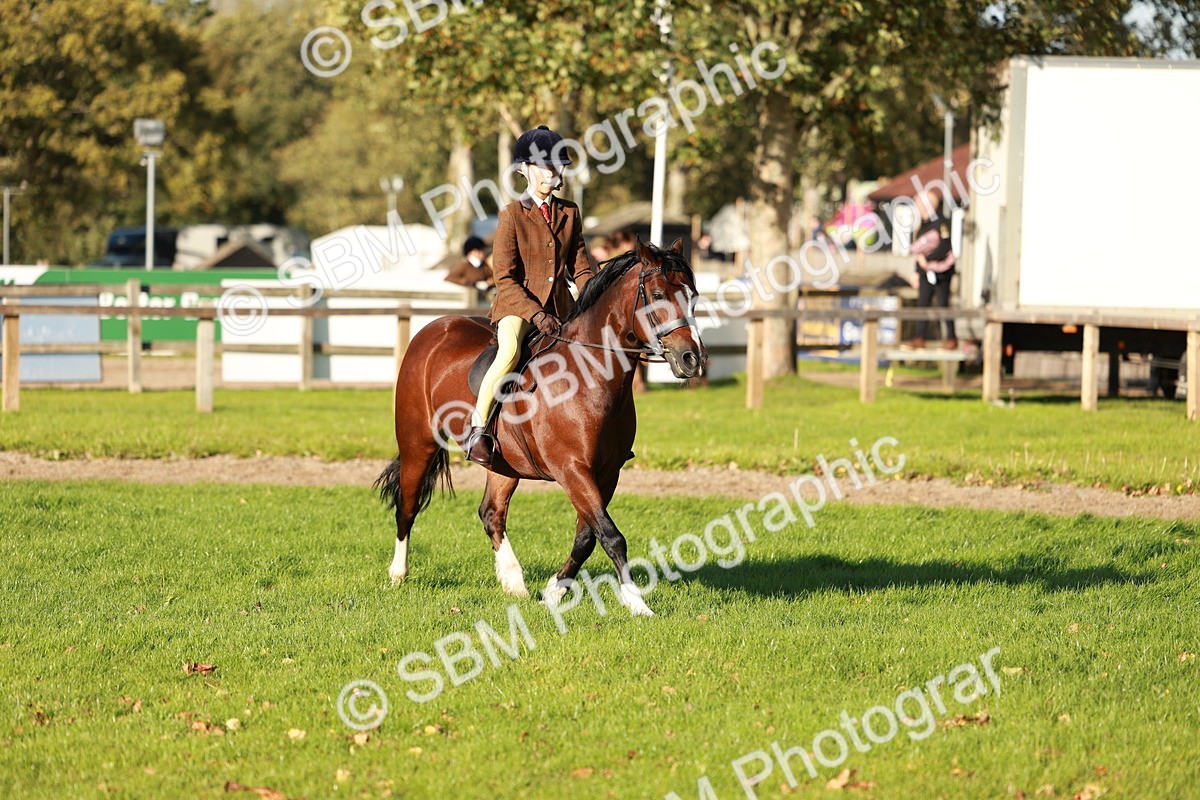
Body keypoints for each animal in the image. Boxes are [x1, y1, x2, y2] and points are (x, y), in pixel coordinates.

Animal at [374, 237, 707, 616]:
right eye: (656, 293)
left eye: (693, 296)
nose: (692, 359)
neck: (590, 375)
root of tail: (432, 329)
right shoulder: (572, 469)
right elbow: (611, 535)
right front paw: (637, 604)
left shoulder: (607, 473)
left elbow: (587, 536)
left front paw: (555, 591)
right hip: (418, 443)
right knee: (408, 504)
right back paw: (398, 574)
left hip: (502, 463)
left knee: (491, 513)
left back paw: (514, 582)